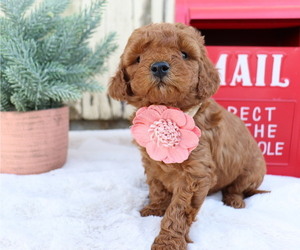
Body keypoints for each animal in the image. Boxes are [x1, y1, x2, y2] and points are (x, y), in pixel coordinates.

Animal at [108, 22, 268, 249]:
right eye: (138, 58)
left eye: (184, 54)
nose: (159, 66)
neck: (168, 110)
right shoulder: (152, 163)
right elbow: (157, 187)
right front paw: (155, 208)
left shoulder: (195, 174)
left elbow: (179, 210)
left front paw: (168, 241)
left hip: (252, 172)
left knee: (237, 188)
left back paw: (234, 201)